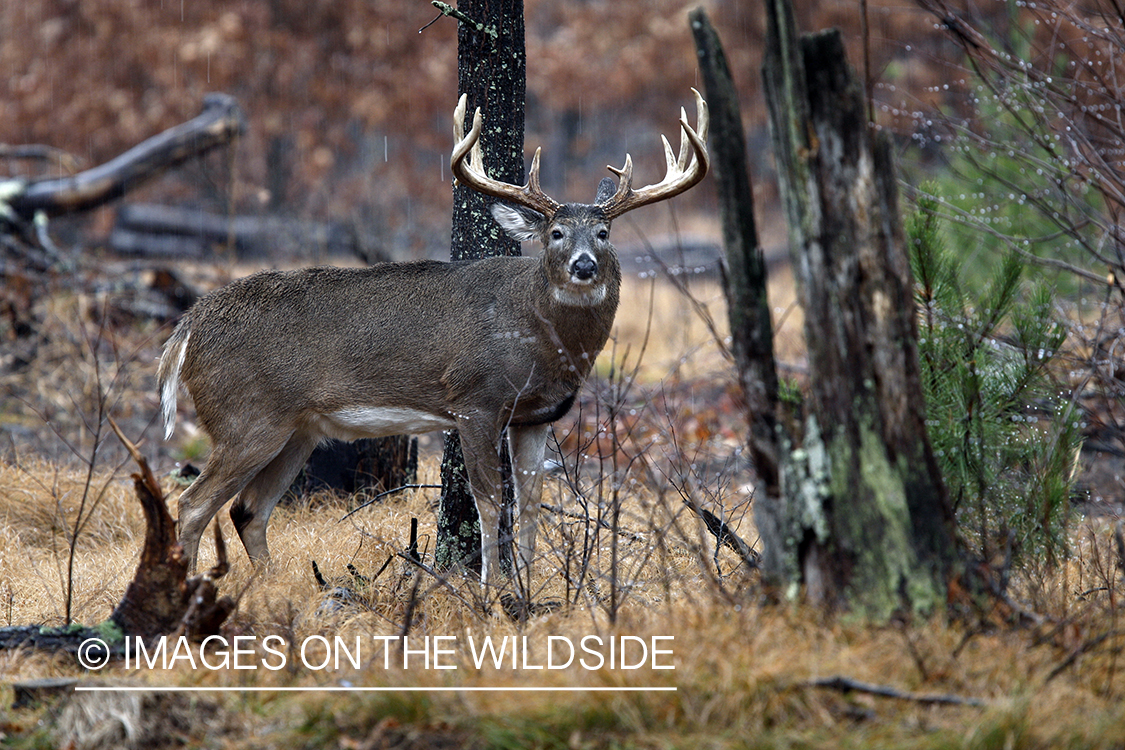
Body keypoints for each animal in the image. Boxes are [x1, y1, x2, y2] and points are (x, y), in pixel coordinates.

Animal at [158, 89, 706, 602]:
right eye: (555, 233)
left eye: (604, 232)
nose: (585, 265)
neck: (539, 338)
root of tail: (188, 326)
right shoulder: (476, 399)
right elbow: (491, 499)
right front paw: (491, 589)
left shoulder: (535, 415)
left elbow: (530, 500)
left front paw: (530, 588)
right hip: (245, 416)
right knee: (192, 504)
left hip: (298, 429)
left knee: (247, 510)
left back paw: (279, 587)